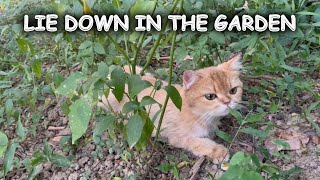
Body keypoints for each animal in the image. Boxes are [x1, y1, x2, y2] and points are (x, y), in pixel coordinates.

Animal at [99, 52, 244, 163]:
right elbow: (199, 142)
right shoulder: (177, 136)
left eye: (233, 91)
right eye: (210, 96)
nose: (227, 102)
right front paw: (218, 151)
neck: (194, 113)